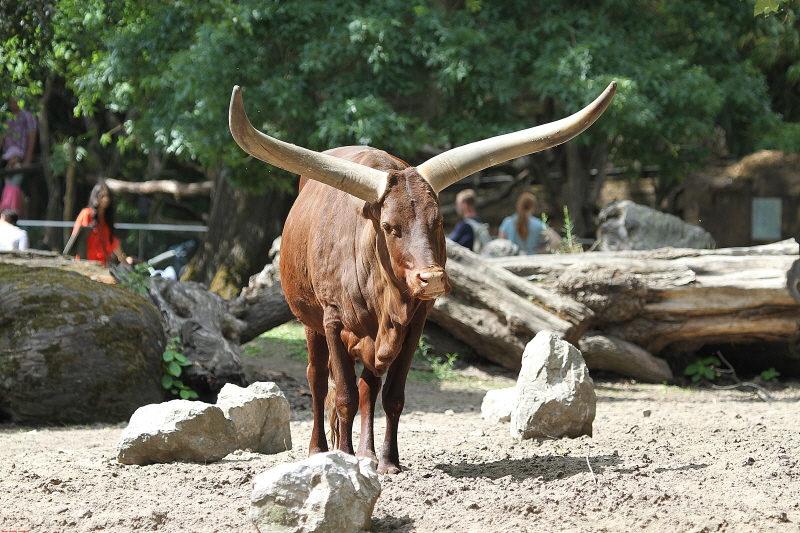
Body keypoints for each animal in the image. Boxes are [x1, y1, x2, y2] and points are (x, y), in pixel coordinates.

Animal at [228, 81, 616, 472]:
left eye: (439, 221)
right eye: (389, 226)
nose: (432, 279)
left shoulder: (412, 322)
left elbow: (391, 395)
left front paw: (387, 461)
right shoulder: (333, 320)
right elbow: (343, 395)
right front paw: (343, 458)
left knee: (369, 386)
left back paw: (367, 454)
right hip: (310, 322)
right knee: (319, 380)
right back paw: (322, 449)